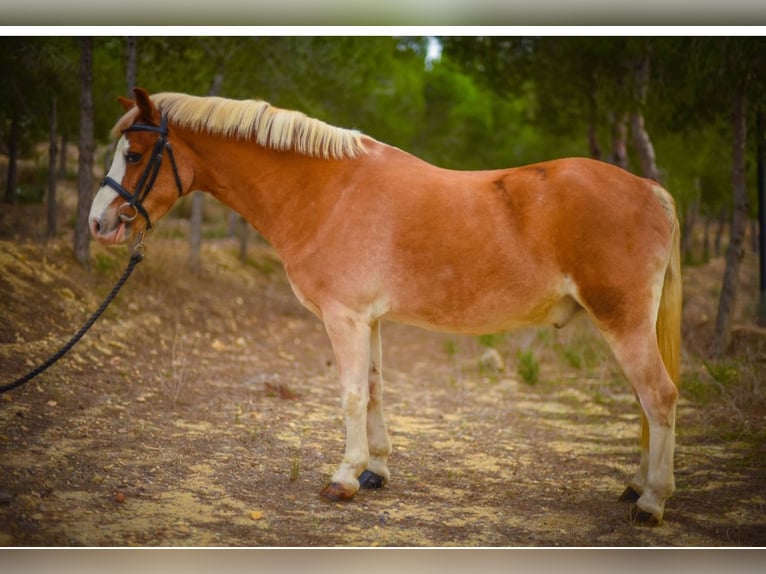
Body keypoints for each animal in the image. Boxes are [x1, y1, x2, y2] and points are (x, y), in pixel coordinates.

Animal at [90, 89, 684, 528]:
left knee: (658, 396)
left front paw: (343, 478)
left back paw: (652, 501)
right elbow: (374, 390)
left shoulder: (345, 317)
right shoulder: (368, 320)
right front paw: (375, 471)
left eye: (135, 155)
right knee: (644, 403)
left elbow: (351, 395)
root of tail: (651, 190)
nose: (99, 222)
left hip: (622, 321)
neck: (327, 191)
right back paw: (635, 487)